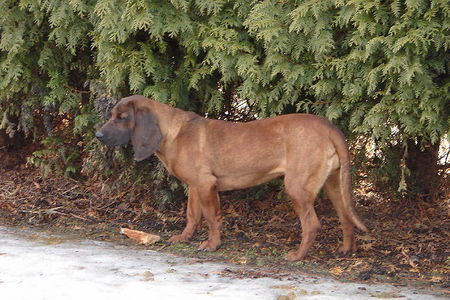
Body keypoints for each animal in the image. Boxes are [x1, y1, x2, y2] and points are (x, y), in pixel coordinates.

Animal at [96, 94, 368, 260]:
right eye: (111, 116)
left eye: (122, 118)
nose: (98, 135)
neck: (174, 132)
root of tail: (329, 127)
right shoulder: (195, 187)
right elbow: (192, 215)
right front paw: (184, 238)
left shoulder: (206, 185)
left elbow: (211, 217)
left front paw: (212, 244)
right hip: (333, 184)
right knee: (345, 217)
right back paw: (346, 249)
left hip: (297, 187)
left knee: (312, 225)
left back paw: (297, 256)